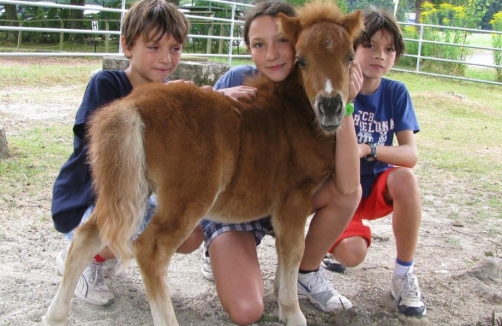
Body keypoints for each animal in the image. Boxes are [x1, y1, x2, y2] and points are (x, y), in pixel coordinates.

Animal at [42, 1, 360, 324]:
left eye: (350, 57)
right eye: (301, 60)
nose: (331, 107)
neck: (294, 112)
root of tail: (132, 105)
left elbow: (285, 252)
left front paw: (282, 303)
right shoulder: (294, 197)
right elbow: (294, 250)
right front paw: (293, 312)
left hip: (130, 190)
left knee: (88, 235)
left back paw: (54, 316)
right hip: (189, 198)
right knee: (149, 249)